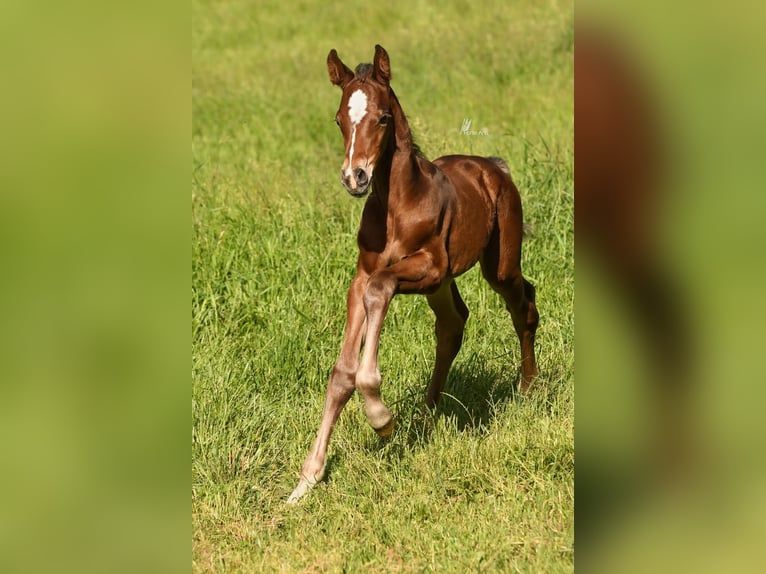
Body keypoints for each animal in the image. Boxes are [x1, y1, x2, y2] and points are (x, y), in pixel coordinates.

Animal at [288, 45, 540, 504]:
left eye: (384, 117)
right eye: (338, 119)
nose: (355, 177)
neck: (396, 205)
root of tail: (495, 168)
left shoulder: (426, 267)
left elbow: (379, 291)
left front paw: (380, 416)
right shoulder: (363, 276)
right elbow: (341, 373)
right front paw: (307, 479)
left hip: (498, 266)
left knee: (523, 305)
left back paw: (527, 389)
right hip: (441, 286)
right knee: (453, 323)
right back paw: (428, 409)